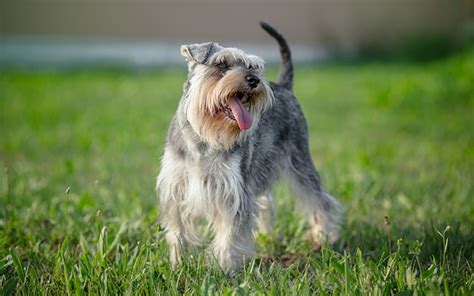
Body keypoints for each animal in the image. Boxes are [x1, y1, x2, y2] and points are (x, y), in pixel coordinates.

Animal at [157, 22, 342, 272]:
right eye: (221, 64)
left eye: (253, 66)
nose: (254, 79)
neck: (203, 139)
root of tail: (284, 86)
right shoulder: (176, 190)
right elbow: (178, 232)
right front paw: (178, 264)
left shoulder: (233, 192)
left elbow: (229, 235)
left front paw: (222, 269)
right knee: (266, 202)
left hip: (299, 162)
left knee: (319, 200)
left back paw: (324, 237)